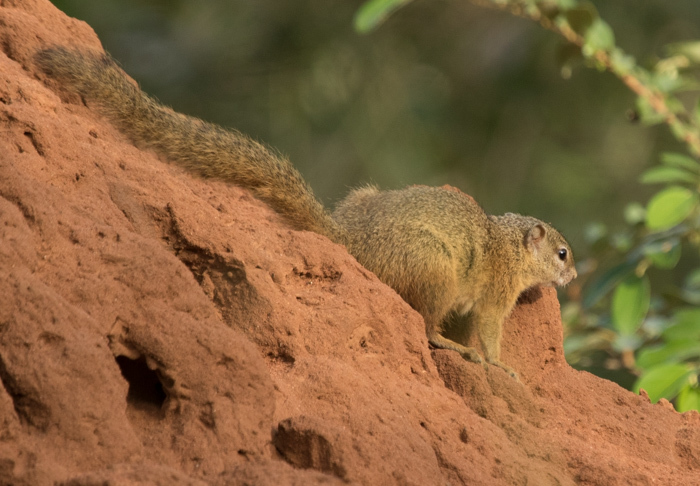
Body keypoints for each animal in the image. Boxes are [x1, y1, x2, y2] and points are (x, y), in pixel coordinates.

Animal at [35, 47, 576, 378]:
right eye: (563, 253)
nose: (572, 278)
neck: (507, 244)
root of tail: (354, 241)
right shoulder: (496, 294)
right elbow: (489, 332)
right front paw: (501, 366)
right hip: (436, 267)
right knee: (424, 328)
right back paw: (450, 347)